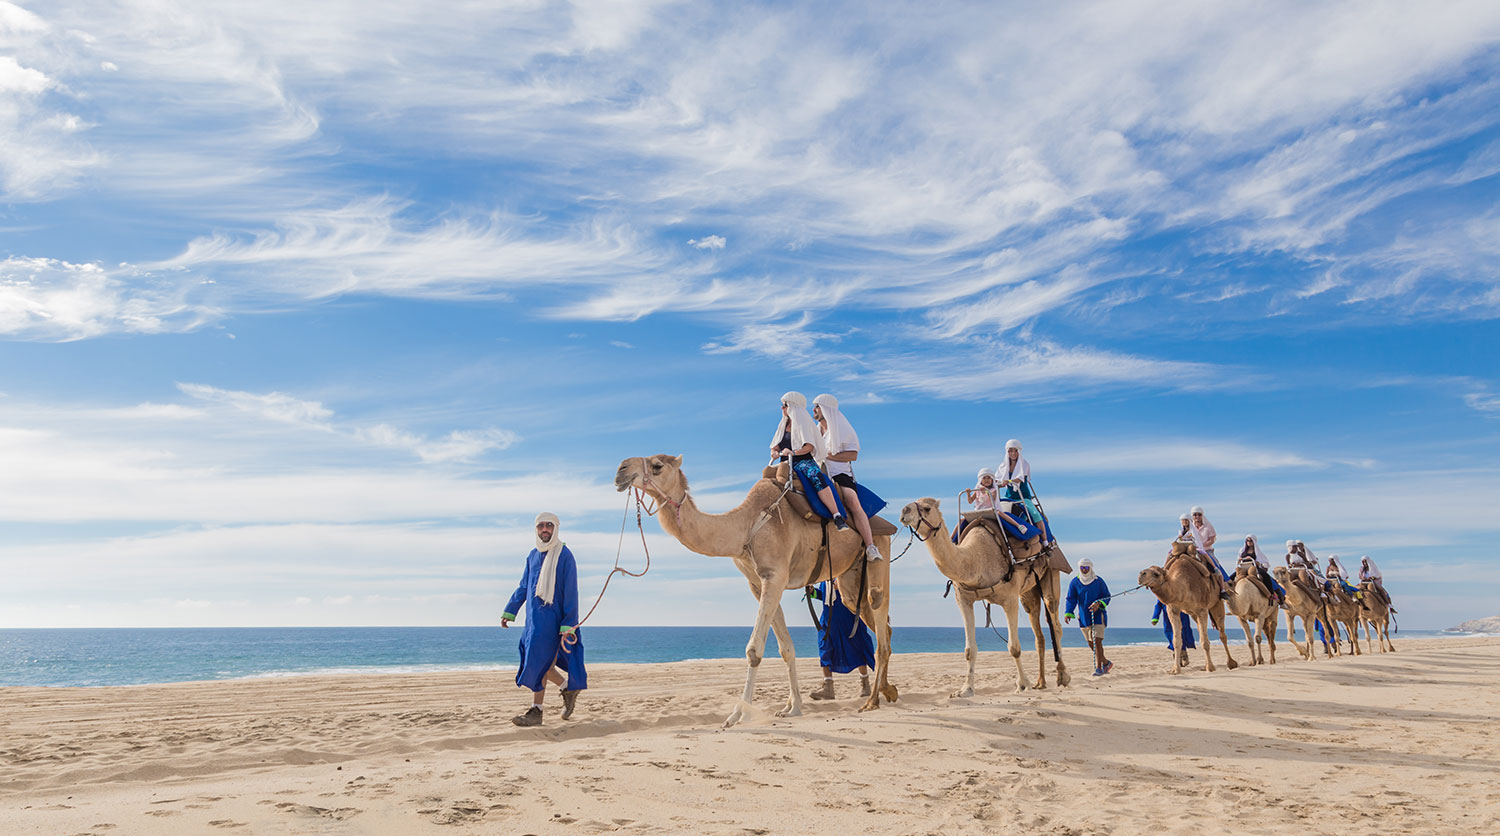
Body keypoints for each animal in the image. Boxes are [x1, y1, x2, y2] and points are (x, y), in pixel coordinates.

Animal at [615, 453, 894, 726]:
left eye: (657, 466)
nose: (620, 470)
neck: (747, 526)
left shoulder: (775, 576)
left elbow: (754, 651)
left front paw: (737, 714)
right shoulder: (758, 584)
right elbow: (786, 648)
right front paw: (792, 708)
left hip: (879, 553)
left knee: (879, 616)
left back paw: (872, 701)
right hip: (849, 582)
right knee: (880, 624)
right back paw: (888, 690)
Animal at [894, 498, 1074, 693]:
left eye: (926, 508)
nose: (904, 511)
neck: (976, 559)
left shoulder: (1009, 599)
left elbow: (1014, 647)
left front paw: (1022, 684)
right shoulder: (964, 599)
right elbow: (969, 650)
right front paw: (965, 689)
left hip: (1051, 571)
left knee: (1055, 621)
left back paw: (1063, 677)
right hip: (1028, 592)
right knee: (1037, 629)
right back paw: (1040, 682)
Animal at [1134, 540, 1242, 672]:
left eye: (1156, 573)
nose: (1141, 574)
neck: (1184, 585)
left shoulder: (1202, 609)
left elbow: (1205, 642)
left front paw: (1210, 668)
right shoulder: (1173, 609)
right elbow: (1177, 641)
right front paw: (1175, 669)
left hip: (1216, 604)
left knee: (1222, 633)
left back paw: (1231, 663)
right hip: (1193, 613)